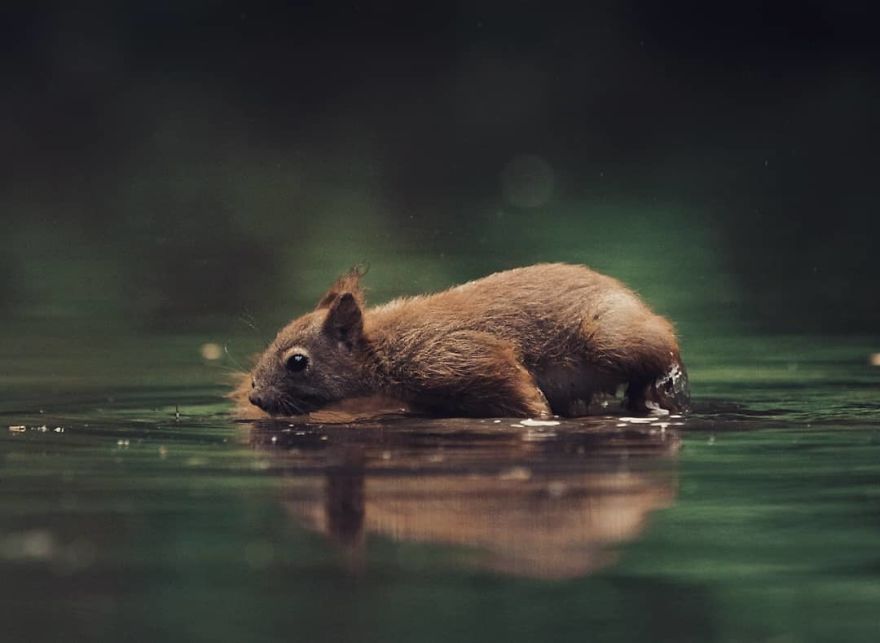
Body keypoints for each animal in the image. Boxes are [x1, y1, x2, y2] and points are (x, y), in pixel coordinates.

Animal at [240, 263, 689, 419]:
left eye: (297, 362)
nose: (255, 396)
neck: (384, 350)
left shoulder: (459, 357)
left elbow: (522, 395)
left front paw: (539, 416)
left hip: (610, 337)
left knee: (664, 344)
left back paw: (660, 385)